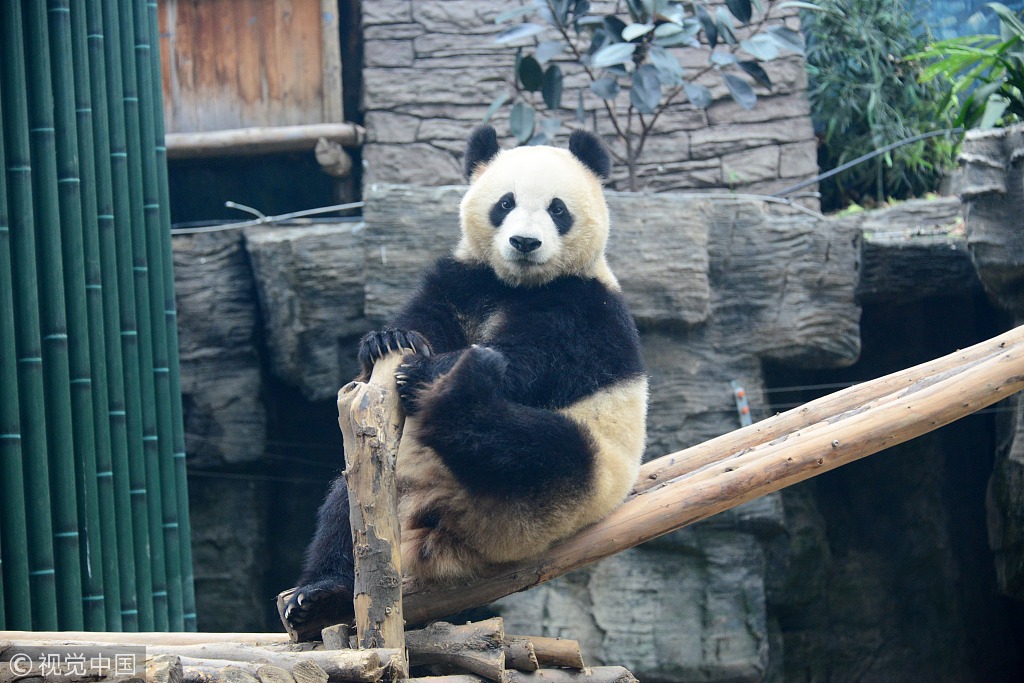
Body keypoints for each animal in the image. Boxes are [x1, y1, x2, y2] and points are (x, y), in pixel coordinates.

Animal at [280, 126, 647, 630]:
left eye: (557, 209)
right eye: (505, 203)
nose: (525, 243)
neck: (515, 285)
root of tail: (446, 534)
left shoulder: (586, 309)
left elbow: (531, 362)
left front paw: (433, 369)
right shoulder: (463, 279)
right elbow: (427, 319)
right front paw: (387, 340)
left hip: (580, 480)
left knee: (537, 448)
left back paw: (461, 394)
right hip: (394, 476)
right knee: (341, 509)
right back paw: (316, 596)